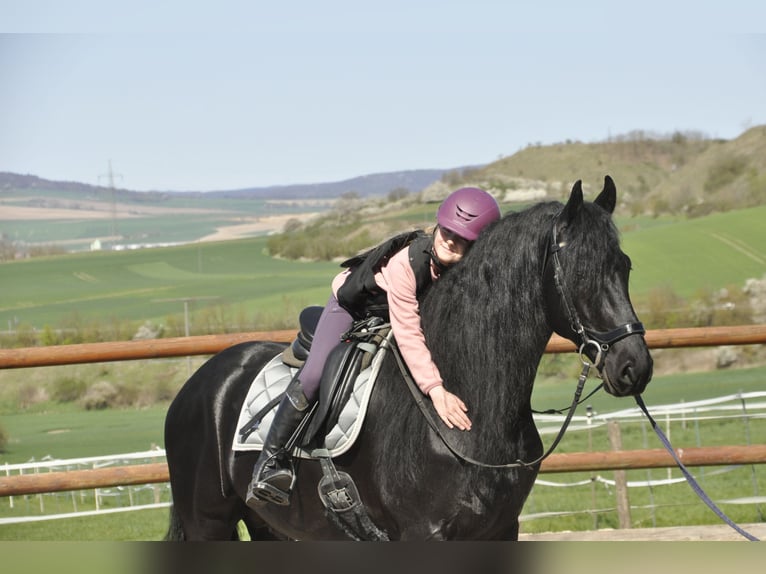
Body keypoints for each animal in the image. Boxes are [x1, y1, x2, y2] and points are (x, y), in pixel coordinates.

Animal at [163, 176, 653, 541]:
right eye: (581, 274)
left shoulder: (500, 529)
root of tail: (197, 384)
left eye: (626, 266)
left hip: (271, 526)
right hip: (208, 521)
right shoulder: (425, 534)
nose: (634, 366)